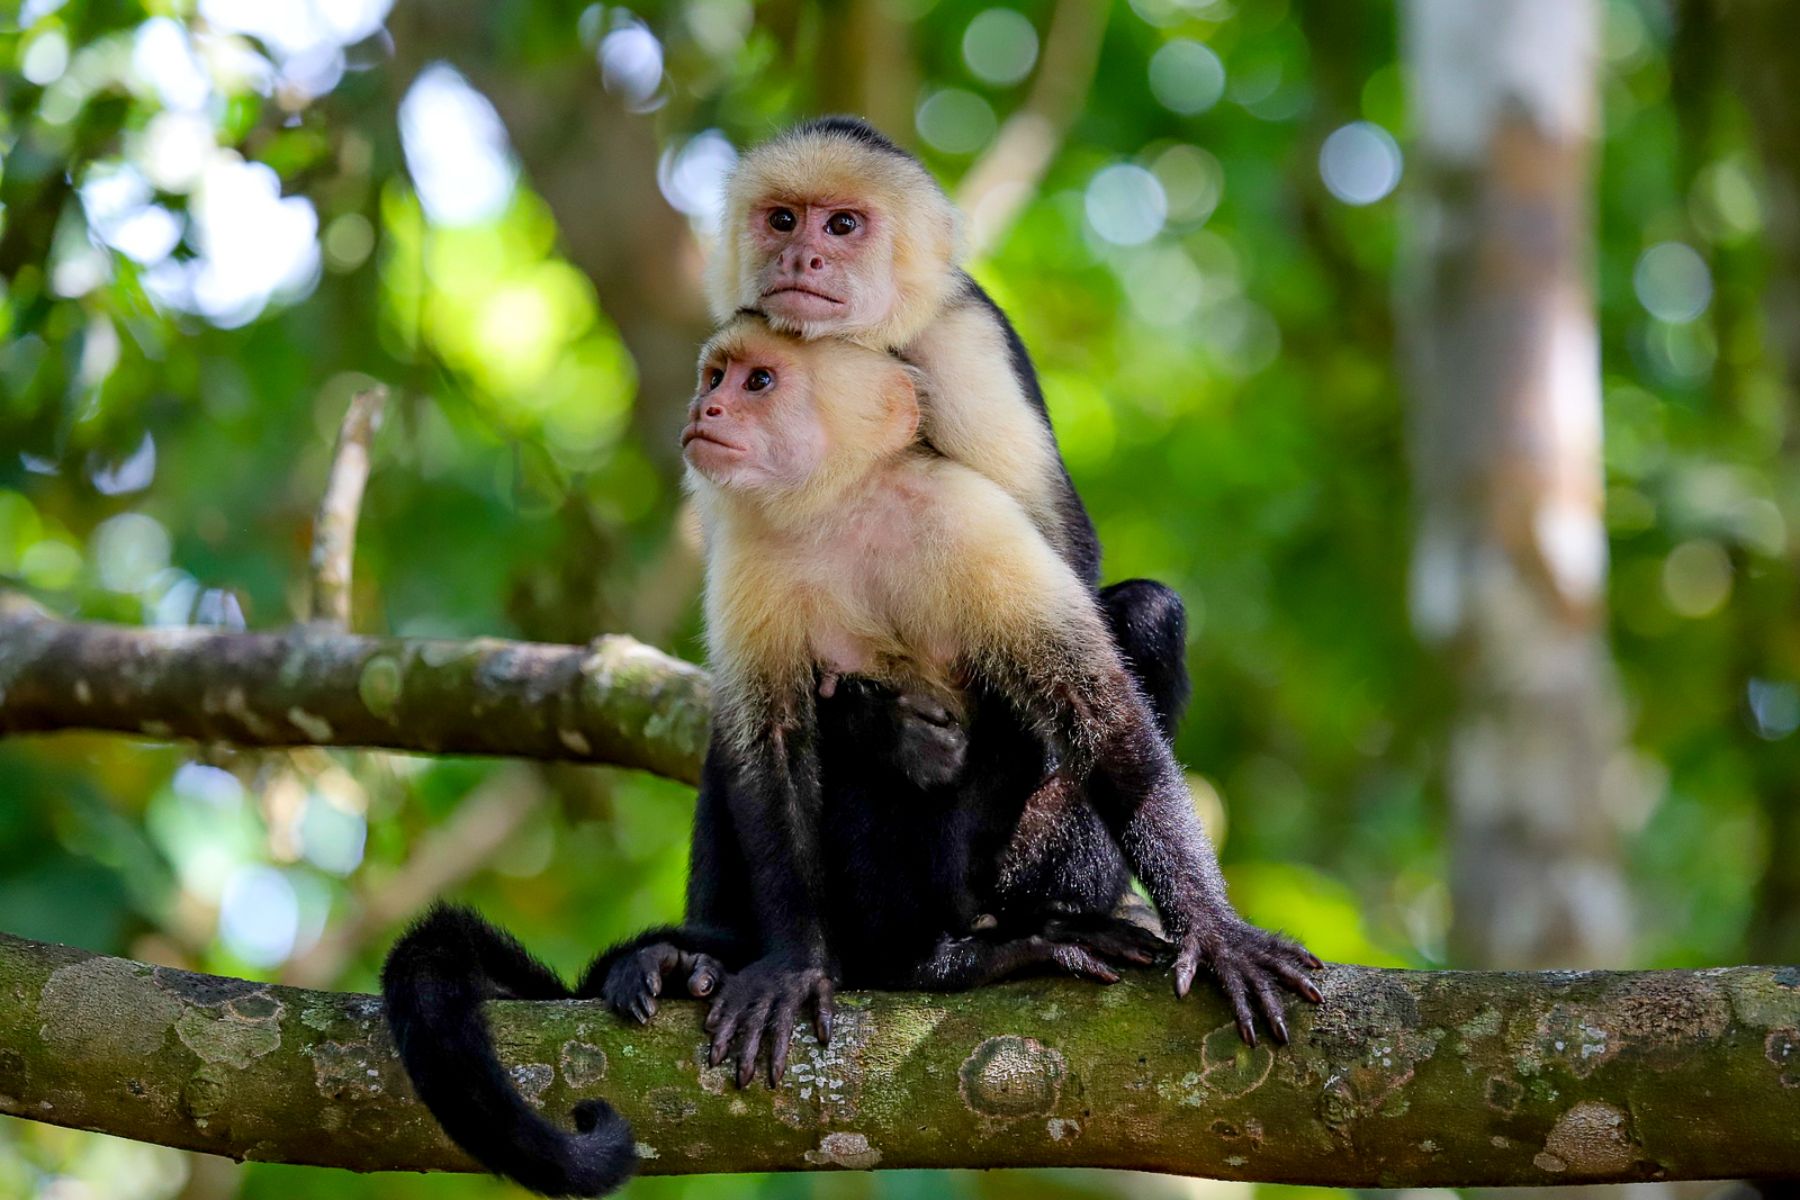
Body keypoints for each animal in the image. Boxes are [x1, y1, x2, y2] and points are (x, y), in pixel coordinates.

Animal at [381, 318, 1319, 1199]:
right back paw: (847, 957)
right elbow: (768, 749)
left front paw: (1215, 930)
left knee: (1141, 620)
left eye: (758, 381)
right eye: (715, 377)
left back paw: (989, 936)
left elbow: (1099, 711)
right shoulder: (749, 557)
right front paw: (793, 965)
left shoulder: (969, 518)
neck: (842, 507)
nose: (706, 410)